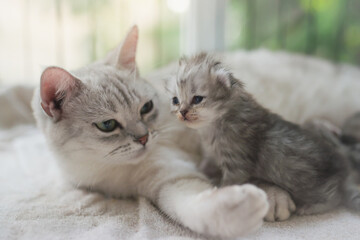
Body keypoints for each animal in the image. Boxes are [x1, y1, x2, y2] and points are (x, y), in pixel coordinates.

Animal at [31, 26, 270, 238]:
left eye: (146, 107)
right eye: (107, 125)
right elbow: (192, 206)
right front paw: (241, 208)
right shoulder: (168, 179)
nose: (144, 138)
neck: (111, 171)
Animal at [167, 52, 360, 218]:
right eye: (176, 100)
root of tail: (344, 167)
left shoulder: (237, 164)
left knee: (334, 197)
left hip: (312, 186)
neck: (217, 121)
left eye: (197, 99)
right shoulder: (215, 153)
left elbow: (229, 182)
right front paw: (204, 169)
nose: (182, 112)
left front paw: (220, 191)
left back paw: (311, 207)